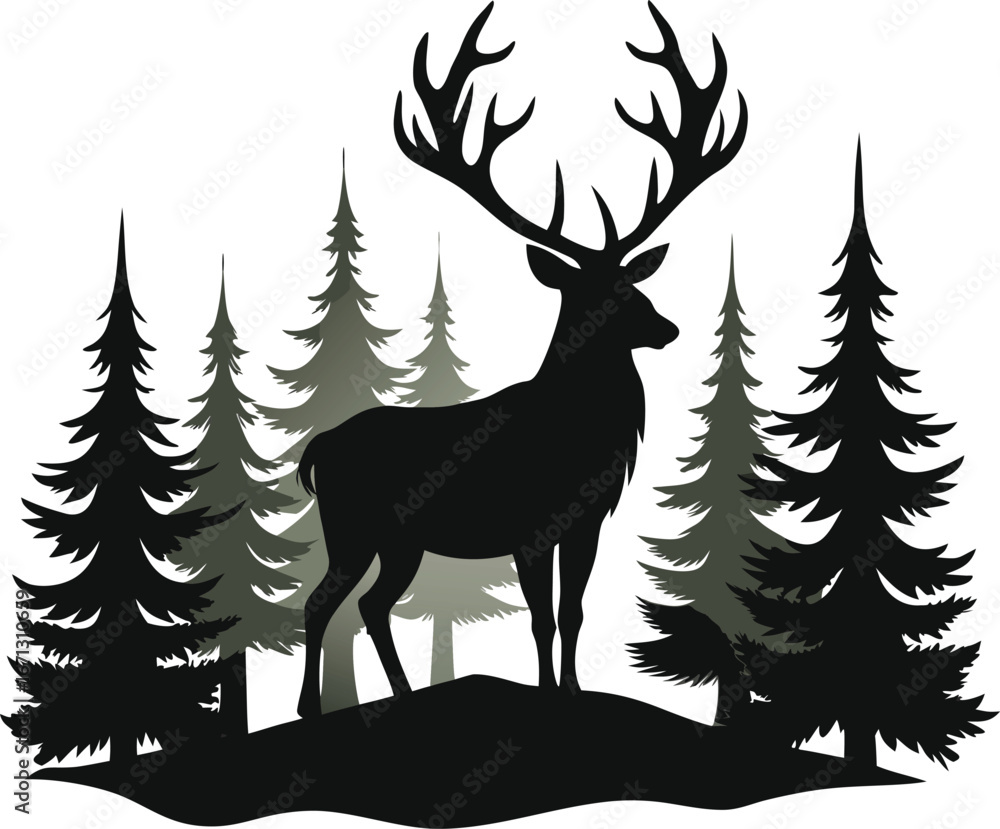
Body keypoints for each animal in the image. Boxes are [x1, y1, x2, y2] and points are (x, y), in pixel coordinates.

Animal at [295, 1, 747, 719]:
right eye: (590, 295)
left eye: (631, 284)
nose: (668, 326)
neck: (581, 438)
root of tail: (316, 449)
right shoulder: (529, 524)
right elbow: (539, 615)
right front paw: (544, 695)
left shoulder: (587, 520)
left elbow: (574, 611)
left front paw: (575, 690)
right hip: (353, 524)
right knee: (321, 601)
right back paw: (312, 707)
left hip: (400, 541)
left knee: (370, 604)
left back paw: (404, 695)